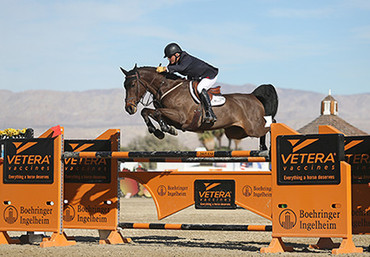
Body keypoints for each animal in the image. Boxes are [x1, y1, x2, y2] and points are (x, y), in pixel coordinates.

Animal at [120, 64, 278, 150]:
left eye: (132, 85)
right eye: (124, 85)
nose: (129, 108)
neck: (167, 87)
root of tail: (254, 97)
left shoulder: (181, 117)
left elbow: (156, 112)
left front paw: (164, 129)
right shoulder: (174, 119)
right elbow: (147, 111)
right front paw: (159, 131)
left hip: (253, 128)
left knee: (271, 124)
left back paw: (268, 147)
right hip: (237, 132)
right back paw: (263, 148)